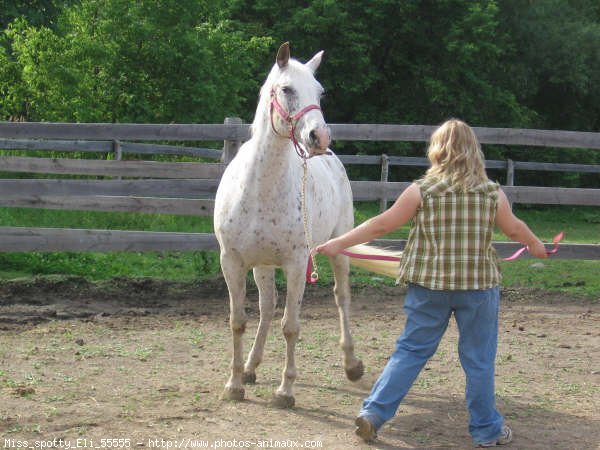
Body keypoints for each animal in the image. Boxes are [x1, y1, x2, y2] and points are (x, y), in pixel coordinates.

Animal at [216, 42, 366, 408]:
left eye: (320, 92)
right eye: (286, 89)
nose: (319, 136)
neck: (259, 187)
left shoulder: (297, 264)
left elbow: (291, 326)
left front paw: (285, 391)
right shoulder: (233, 262)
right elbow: (238, 321)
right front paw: (235, 384)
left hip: (338, 250)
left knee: (342, 298)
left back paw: (351, 364)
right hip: (263, 265)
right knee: (267, 307)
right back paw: (251, 367)